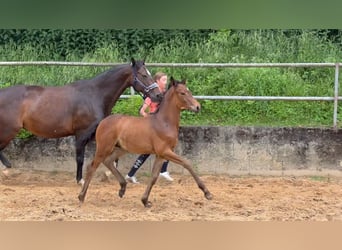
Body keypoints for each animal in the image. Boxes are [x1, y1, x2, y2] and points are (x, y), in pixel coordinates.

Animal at [0, 58, 162, 184]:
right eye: (143, 75)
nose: (158, 95)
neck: (94, 95)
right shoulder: (82, 134)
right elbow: (80, 158)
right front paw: (80, 180)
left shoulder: (97, 133)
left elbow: (112, 154)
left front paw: (107, 174)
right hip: (9, 130)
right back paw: (7, 169)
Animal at [79, 77, 212, 208]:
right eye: (182, 93)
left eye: (189, 91)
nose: (197, 107)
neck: (164, 122)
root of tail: (103, 122)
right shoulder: (165, 151)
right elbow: (187, 163)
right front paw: (207, 193)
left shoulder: (160, 155)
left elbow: (154, 177)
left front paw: (145, 201)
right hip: (104, 148)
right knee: (92, 167)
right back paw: (81, 196)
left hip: (121, 149)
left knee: (108, 161)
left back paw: (122, 188)